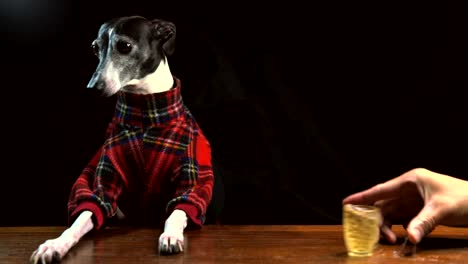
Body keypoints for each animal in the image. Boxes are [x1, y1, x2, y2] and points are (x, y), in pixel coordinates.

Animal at [30, 15, 217, 262]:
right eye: (95, 48)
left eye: (125, 46)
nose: (93, 88)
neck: (146, 113)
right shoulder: (105, 180)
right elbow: (83, 216)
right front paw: (55, 244)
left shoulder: (191, 179)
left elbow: (177, 211)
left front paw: (170, 236)